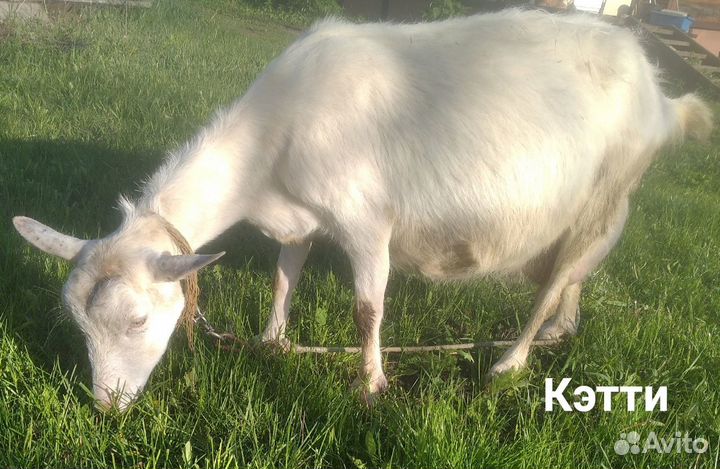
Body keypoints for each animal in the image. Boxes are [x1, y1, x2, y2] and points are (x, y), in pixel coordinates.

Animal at [14, 9, 712, 409]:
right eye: (77, 324)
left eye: (136, 322)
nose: (106, 408)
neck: (275, 136)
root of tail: (662, 98)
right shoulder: (296, 217)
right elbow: (285, 273)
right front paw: (272, 342)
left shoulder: (366, 221)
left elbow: (366, 308)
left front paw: (369, 384)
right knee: (571, 278)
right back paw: (560, 331)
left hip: (609, 192)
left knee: (555, 281)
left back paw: (509, 364)